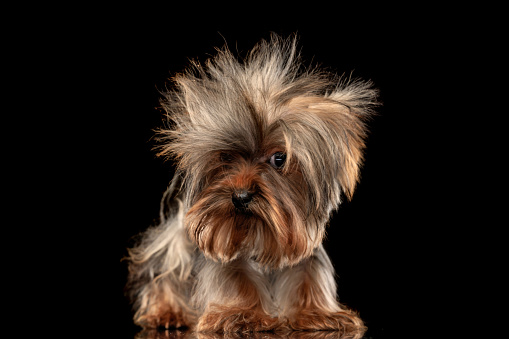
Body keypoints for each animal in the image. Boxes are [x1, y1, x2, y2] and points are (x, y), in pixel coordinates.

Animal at [125, 33, 376, 336]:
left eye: (279, 158)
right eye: (225, 157)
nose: (241, 196)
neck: (260, 235)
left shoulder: (304, 257)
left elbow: (306, 276)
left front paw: (315, 313)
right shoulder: (227, 253)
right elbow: (236, 276)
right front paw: (242, 313)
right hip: (177, 238)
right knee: (167, 268)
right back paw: (167, 312)